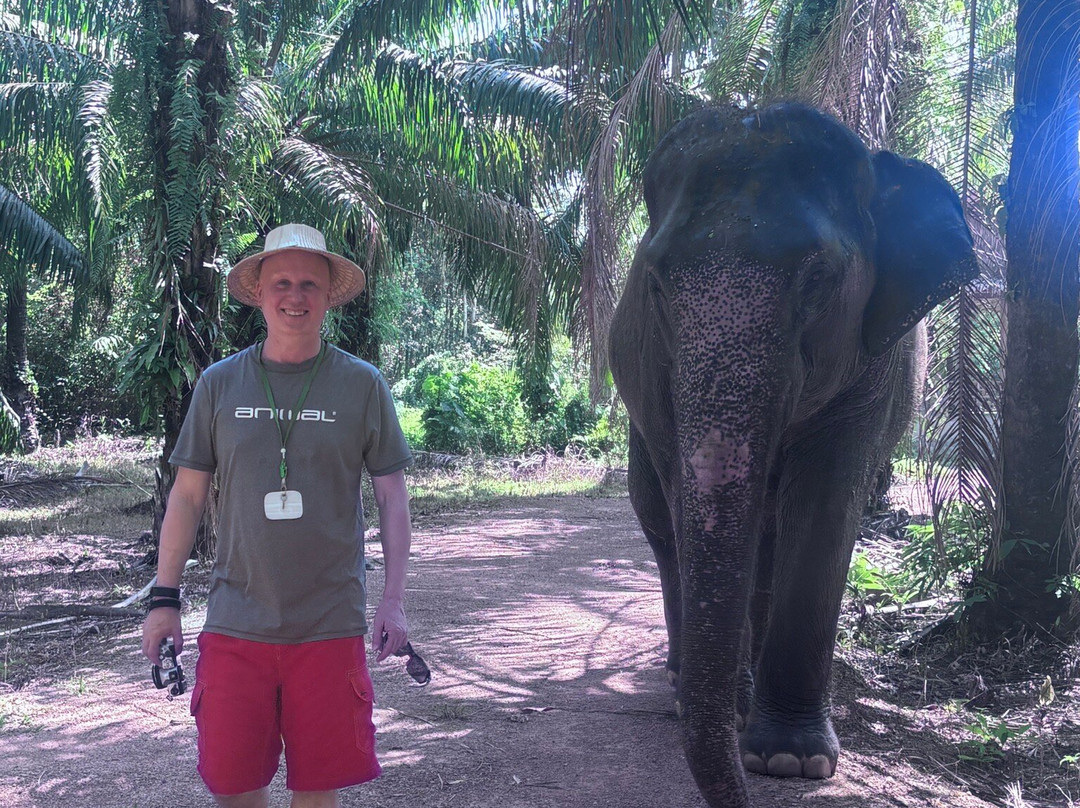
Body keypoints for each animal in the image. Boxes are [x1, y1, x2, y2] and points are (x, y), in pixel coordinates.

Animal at [608, 102, 977, 808]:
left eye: (820, 278)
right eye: (656, 284)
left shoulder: (875, 366)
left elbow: (828, 505)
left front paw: (789, 760)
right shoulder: (654, 375)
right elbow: (686, 501)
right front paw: (745, 725)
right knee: (663, 526)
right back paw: (686, 688)